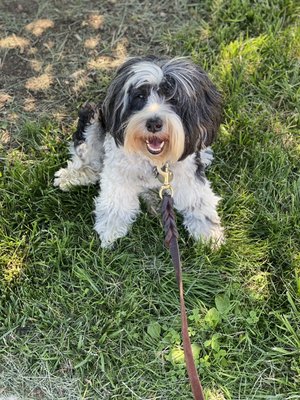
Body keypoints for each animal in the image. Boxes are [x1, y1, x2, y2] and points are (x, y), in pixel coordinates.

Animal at [54, 54, 224, 248]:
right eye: (140, 96)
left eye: (173, 99)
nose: (154, 123)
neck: (153, 161)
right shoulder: (118, 170)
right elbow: (116, 201)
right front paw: (111, 228)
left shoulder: (188, 173)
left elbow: (198, 200)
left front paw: (209, 232)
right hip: (93, 116)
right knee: (91, 161)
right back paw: (72, 176)